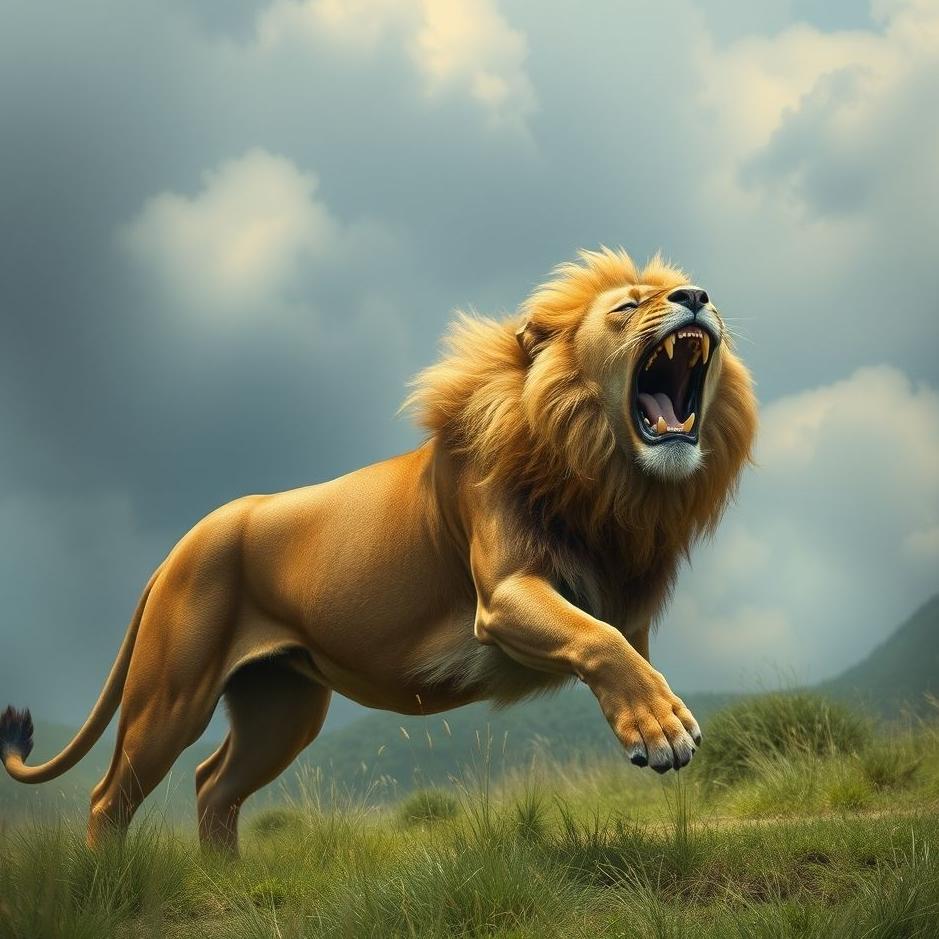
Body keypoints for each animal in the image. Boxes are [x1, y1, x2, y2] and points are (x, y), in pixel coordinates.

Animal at [1, 248, 757, 854]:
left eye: (682, 289)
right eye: (628, 305)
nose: (696, 296)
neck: (603, 473)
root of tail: (175, 549)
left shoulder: (624, 601)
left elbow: (622, 643)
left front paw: (658, 712)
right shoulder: (504, 594)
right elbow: (597, 639)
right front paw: (660, 729)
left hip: (282, 709)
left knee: (214, 784)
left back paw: (229, 881)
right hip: (170, 695)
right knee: (110, 795)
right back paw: (108, 885)